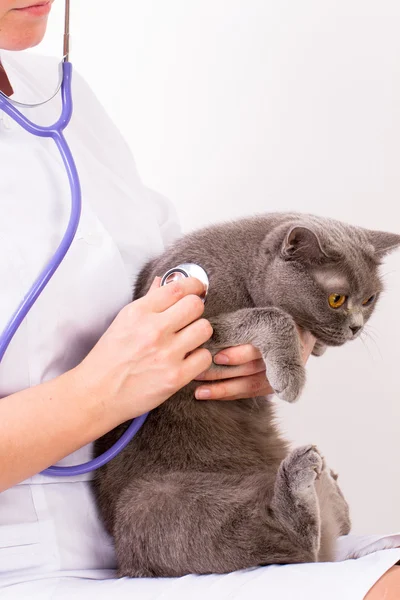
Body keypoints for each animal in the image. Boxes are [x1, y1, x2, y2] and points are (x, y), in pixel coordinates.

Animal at [93, 213, 400, 580]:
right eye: (337, 299)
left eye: (369, 300)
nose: (356, 327)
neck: (241, 272)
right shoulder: (184, 340)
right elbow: (273, 315)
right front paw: (291, 376)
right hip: (151, 500)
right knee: (293, 548)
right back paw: (301, 480)